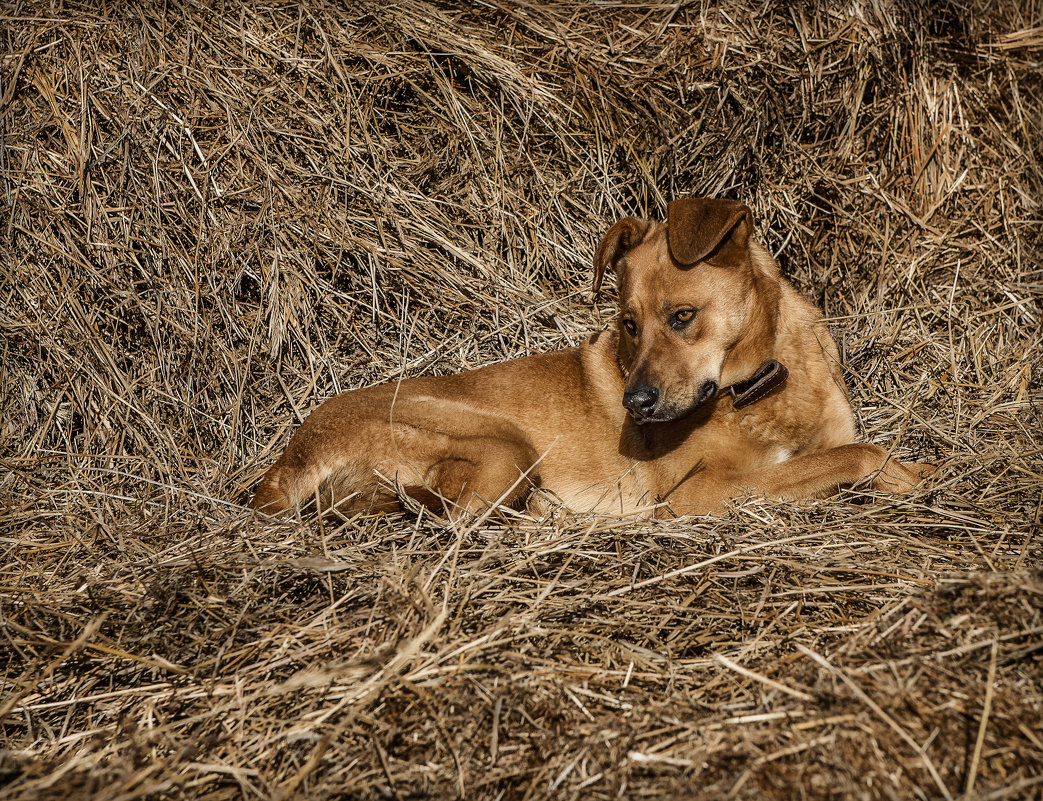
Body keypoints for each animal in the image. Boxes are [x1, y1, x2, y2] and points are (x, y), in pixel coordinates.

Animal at [248, 197, 934, 517]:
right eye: (628, 324)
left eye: (681, 317)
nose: (636, 404)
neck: (764, 386)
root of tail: (289, 455)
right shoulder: (698, 492)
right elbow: (858, 455)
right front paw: (903, 474)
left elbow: (849, 447)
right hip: (505, 447)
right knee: (454, 519)